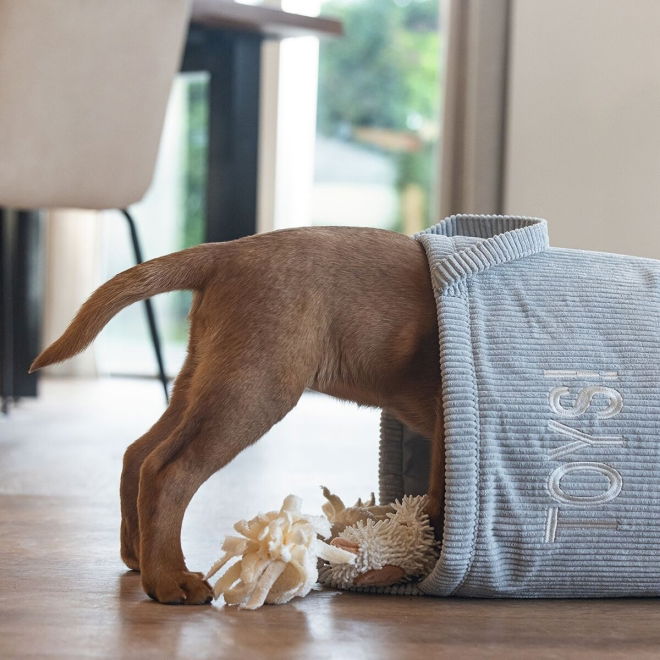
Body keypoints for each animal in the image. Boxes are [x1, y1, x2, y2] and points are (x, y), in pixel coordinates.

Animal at [31, 226, 444, 604]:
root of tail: (226, 252)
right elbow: (441, 504)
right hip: (254, 388)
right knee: (169, 471)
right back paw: (168, 579)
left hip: (205, 379)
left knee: (139, 454)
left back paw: (140, 556)